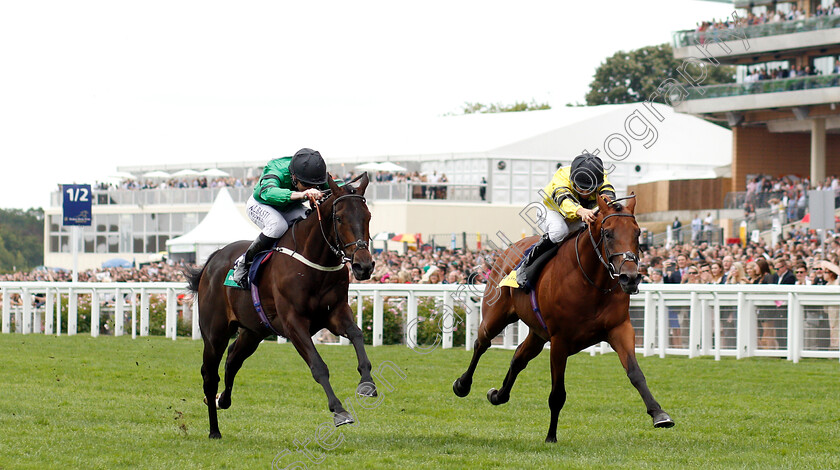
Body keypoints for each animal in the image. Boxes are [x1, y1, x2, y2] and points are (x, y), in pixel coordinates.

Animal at [189, 173, 378, 440]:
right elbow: (318, 366)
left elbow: (357, 335)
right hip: (215, 333)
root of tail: (213, 259)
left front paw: (367, 383)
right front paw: (340, 411)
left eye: (367, 216)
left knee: (233, 360)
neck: (315, 262)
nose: (364, 266)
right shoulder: (293, 323)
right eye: (339, 218)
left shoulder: (336, 313)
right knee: (210, 374)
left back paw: (221, 399)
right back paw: (214, 429)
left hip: (253, 331)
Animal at [452, 193, 676, 442]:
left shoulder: (620, 328)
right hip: (496, 315)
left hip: (538, 333)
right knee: (482, 343)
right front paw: (551, 436)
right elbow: (557, 393)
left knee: (519, 357)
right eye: (608, 233)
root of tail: (507, 251)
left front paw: (659, 414)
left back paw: (498, 395)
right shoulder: (560, 340)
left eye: (637, 233)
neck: (592, 283)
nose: (630, 278)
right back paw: (462, 384)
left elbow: (635, 373)